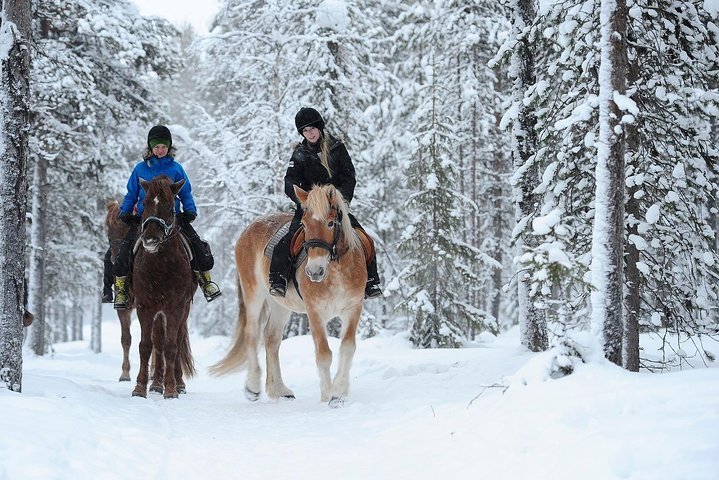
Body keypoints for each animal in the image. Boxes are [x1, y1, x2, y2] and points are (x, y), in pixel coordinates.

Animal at [131, 174, 197, 400]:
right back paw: (156, 384)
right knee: (158, 341)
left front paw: (170, 389)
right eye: (144, 203)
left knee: (176, 340)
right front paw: (140, 387)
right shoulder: (145, 307)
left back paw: (178, 384)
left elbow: (171, 346)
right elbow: (146, 346)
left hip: (183, 309)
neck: (159, 266)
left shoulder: (175, 308)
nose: (150, 239)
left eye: (170, 206)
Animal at [208, 183, 366, 404]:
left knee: (271, 338)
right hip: (253, 293)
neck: (336, 271)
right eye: (305, 225)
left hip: (279, 304)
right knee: (252, 333)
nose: (314, 272)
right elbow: (323, 354)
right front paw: (328, 394)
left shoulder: (353, 308)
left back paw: (279, 389)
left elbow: (348, 347)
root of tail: (248, 229)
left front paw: (339, 392)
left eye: (330, 223)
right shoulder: (315, 312)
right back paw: (253, 387)